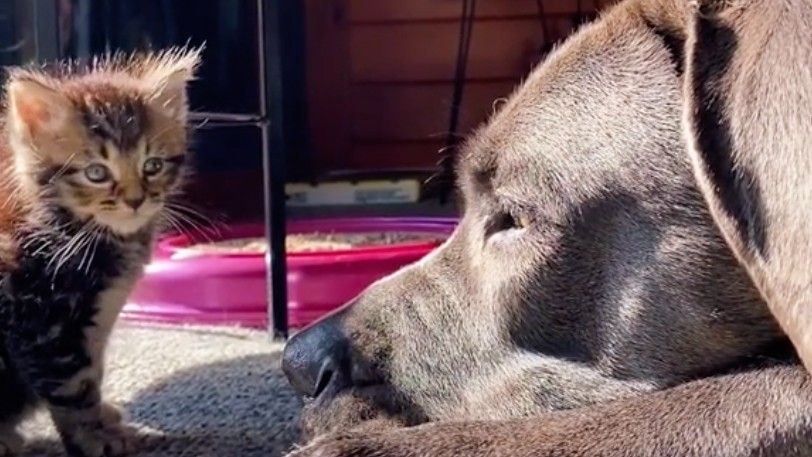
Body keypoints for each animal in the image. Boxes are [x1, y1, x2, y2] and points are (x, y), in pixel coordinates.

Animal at [0, 48, 201, 454]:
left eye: (152, 165)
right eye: (96, 173)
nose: (136, 201)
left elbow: (91, 373)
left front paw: (106, 422)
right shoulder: (41, 321)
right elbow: (73, 389)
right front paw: (94, 438)